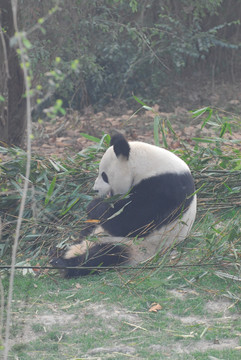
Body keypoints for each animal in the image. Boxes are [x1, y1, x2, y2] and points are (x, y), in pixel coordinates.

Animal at [50, 134, 196, 278]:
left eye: (104, 176)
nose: (95, 190)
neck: (148, 166)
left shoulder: (165, 187)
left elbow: (131, 220)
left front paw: (94, 205)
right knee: (87, 235)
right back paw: (60, 252)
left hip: (134, 246)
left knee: (104, 255)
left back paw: (65, 265)